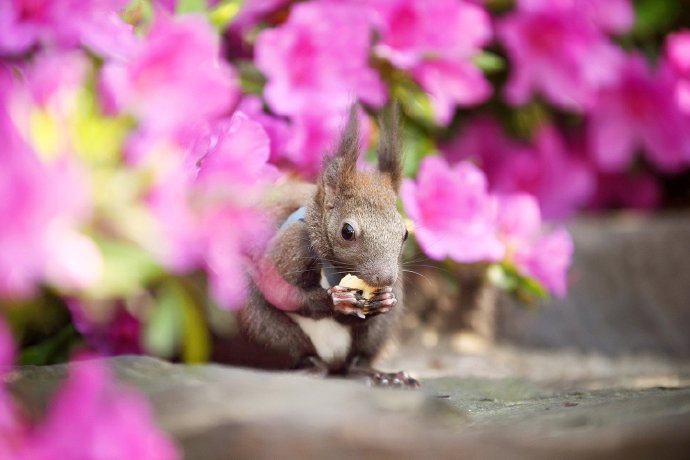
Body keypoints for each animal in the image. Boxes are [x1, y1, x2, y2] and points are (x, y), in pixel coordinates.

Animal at [239, 104, 416, 388]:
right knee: (296, 348)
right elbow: (279, 291)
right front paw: (335, 300)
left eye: (405, 234)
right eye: (347, 232)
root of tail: (333, 360)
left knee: (356, 359)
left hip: (376, 333)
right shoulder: (292, 246)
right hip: (265, 327)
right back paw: (308, 369)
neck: (337, 268)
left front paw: (385, 298)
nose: (385, 278)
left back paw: (377, 374)